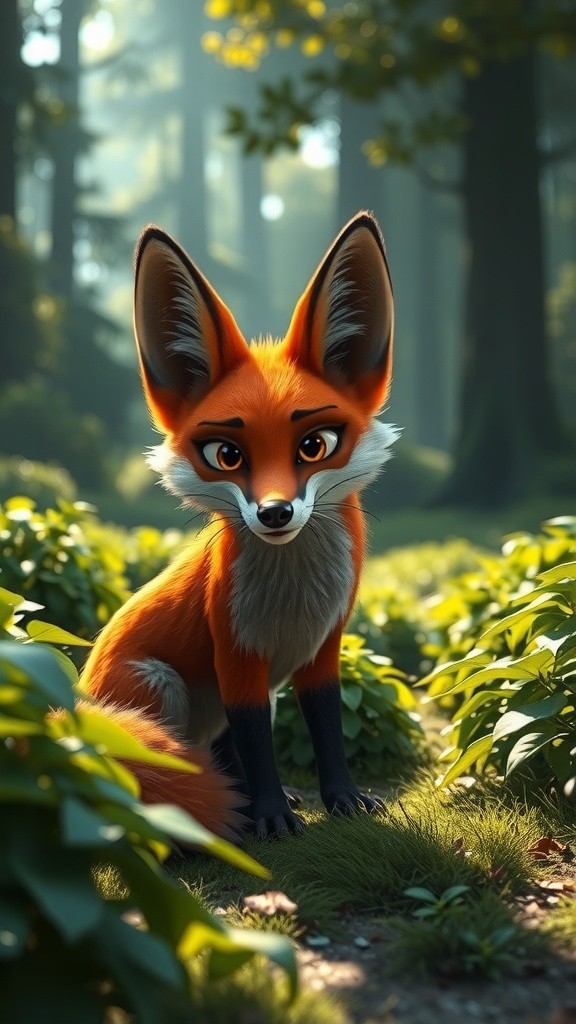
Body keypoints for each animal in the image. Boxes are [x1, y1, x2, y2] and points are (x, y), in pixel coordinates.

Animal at [81, 210, 398, 841]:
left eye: (315, 445)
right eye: (226, 455)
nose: (274, 513)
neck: (294, 599)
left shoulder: (325, 647)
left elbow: (326, 729)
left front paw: (342, 800)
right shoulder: (236, 652)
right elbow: (253, 740)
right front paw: (271, 815)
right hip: (160, 686)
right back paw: (233, 811)